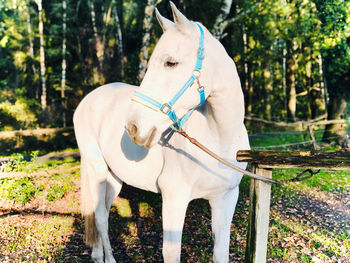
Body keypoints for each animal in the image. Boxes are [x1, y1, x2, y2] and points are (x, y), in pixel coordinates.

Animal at [74, 2, 249, 263]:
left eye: (171, 62)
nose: (133, 128)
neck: (219, 139)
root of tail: (88, 99)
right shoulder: (174, 198)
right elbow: (171, 252)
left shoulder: (225, 199)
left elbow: (220, 251)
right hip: (96, 171)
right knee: (102, 219)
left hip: (113, 178)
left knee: (100, 215)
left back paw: (97, 255)